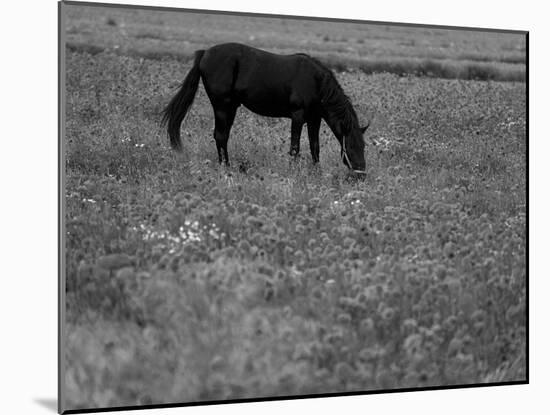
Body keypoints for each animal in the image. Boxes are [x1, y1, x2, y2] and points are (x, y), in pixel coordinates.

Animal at [163, 42, 370, 172]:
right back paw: (225, 168)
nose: (361, 173)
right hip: (222, 106)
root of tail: (204, 53)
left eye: (364, 146)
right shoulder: (298, 116)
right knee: (220, 135)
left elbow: (315, 147)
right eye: (351, 145)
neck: (315, 82)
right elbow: (295, 147)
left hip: (231, 108)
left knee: (223, 136)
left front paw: (316, 172)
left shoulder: (314, 119)